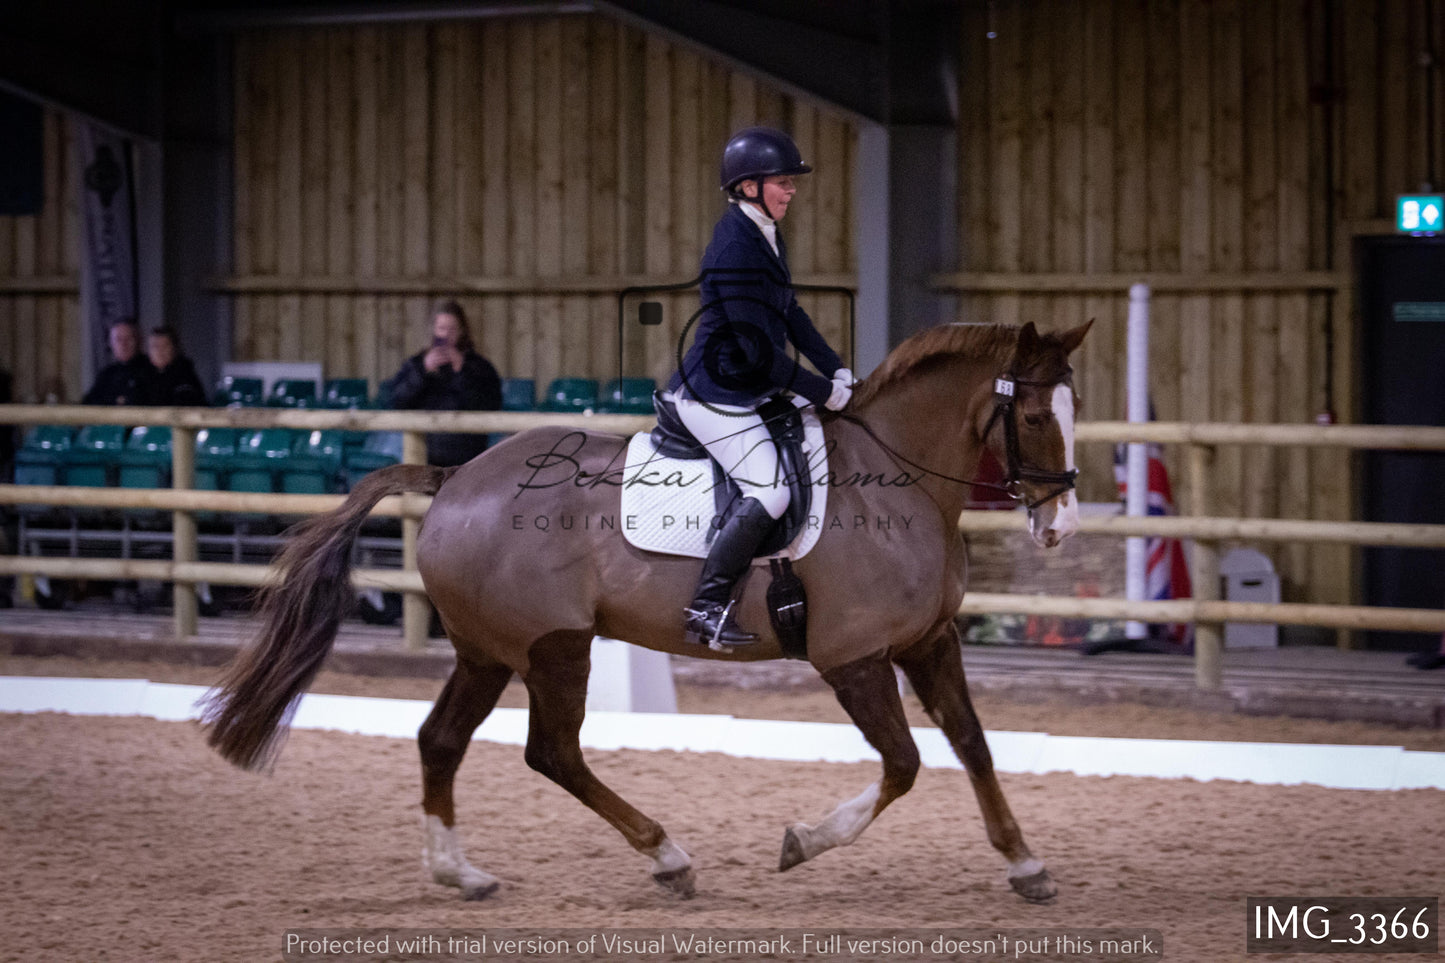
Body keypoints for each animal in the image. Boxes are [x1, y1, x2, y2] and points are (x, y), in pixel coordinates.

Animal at [200, 318, 1086, 902]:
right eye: (1031, 415)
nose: (1058, 524)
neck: (899, 483)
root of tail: (455, 479)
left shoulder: (929, 642)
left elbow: (972, 743)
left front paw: (1025, 863)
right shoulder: (854, 658)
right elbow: (902, 763)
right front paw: (800, 843)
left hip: (486, 652)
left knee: (442, 739)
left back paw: (460, 871)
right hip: (555, 646)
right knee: (552, 751)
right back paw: (666, 856)